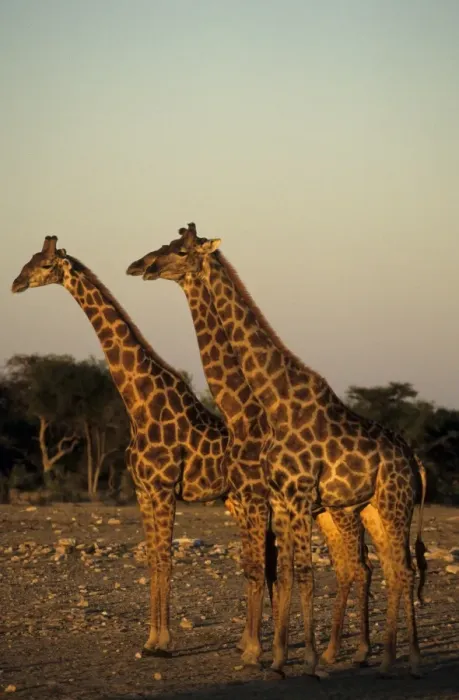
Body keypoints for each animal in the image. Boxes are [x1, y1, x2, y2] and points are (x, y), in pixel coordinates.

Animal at [11, 235, 243, 658]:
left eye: (45, 264)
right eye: (30, 259)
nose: (16, 283)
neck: (140, 405)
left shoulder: (164, 488)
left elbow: (166, 559)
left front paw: (164, 643)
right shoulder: (143, 489)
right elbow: (152, 559)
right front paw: (151, 640)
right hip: (237, 498)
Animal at [128, 224, 427, 678]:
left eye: (180, 251)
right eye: (164, 245)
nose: (140, 265)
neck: (272, 400)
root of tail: (412, 459)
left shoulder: (295, 496)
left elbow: (302, 573)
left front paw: (306, 660)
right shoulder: (283, 500)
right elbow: (284, 574)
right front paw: (280, 659)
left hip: (394, 504)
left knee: (401, 571)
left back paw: (405, 658)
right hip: (374, 508)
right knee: (392, 570)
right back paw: (386, 656)